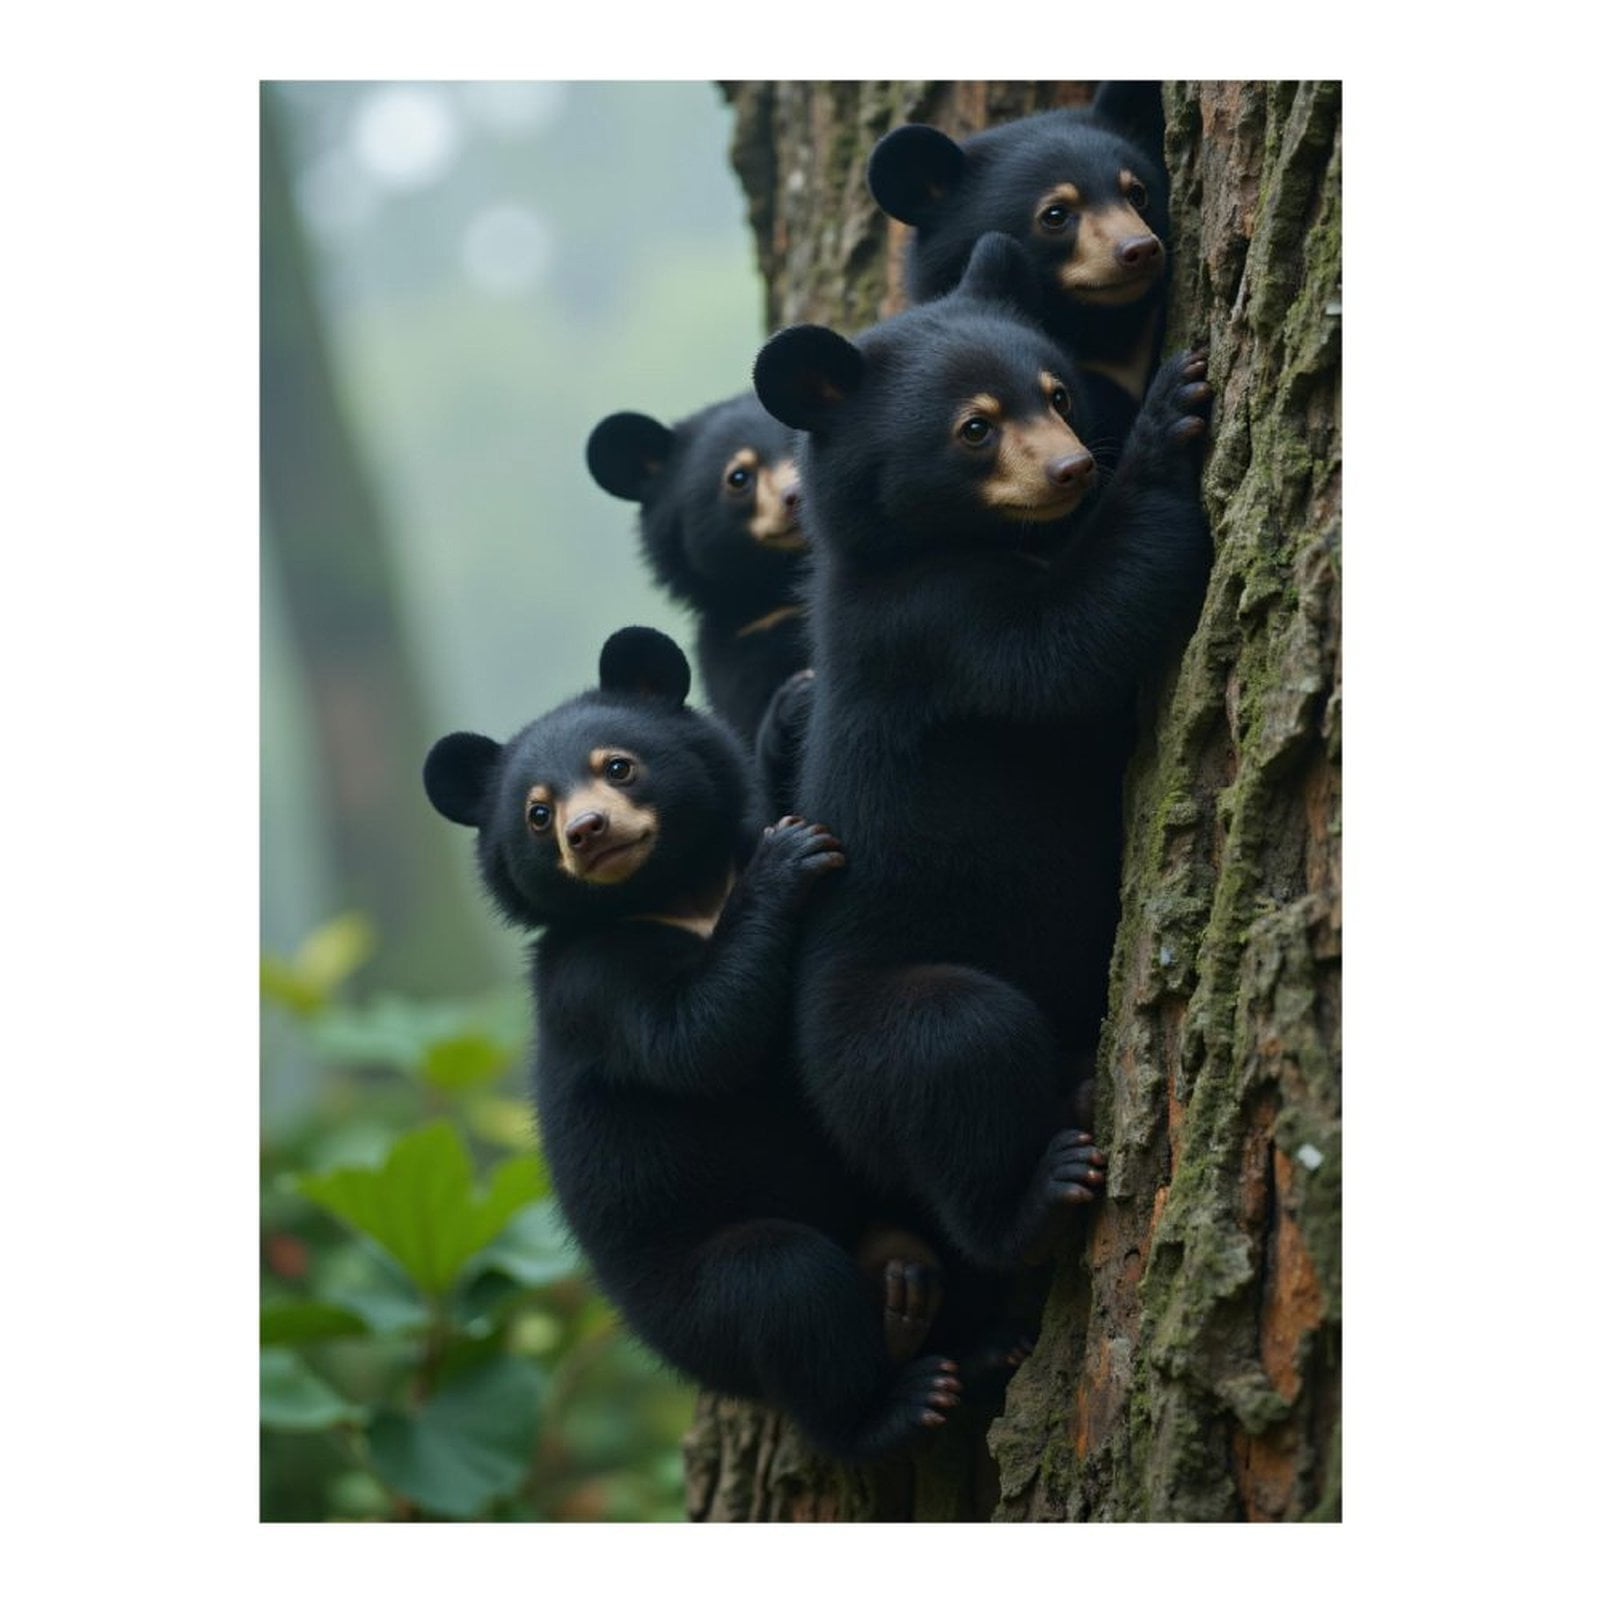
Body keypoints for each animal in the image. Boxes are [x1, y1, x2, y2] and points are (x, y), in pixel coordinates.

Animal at [422, 625, 963, 1459]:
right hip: (695, 1299)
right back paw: (893, 1400)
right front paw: (786, 861)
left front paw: (797, 706)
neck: (680, 894)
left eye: (618, 765)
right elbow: (698, 1039)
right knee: (782, 1285)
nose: (587, 833)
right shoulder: (588, 983)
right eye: (537, 813)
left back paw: (919, 1300)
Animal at [751, 231, 1212, 1274]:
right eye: (975, 428)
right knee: (960, 1049)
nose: (1076, 469)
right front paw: (1170, 416)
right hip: (889, 1022)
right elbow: (1066, 642)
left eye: (1059, 393)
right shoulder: (929, 629)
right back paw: (1036, 1198)